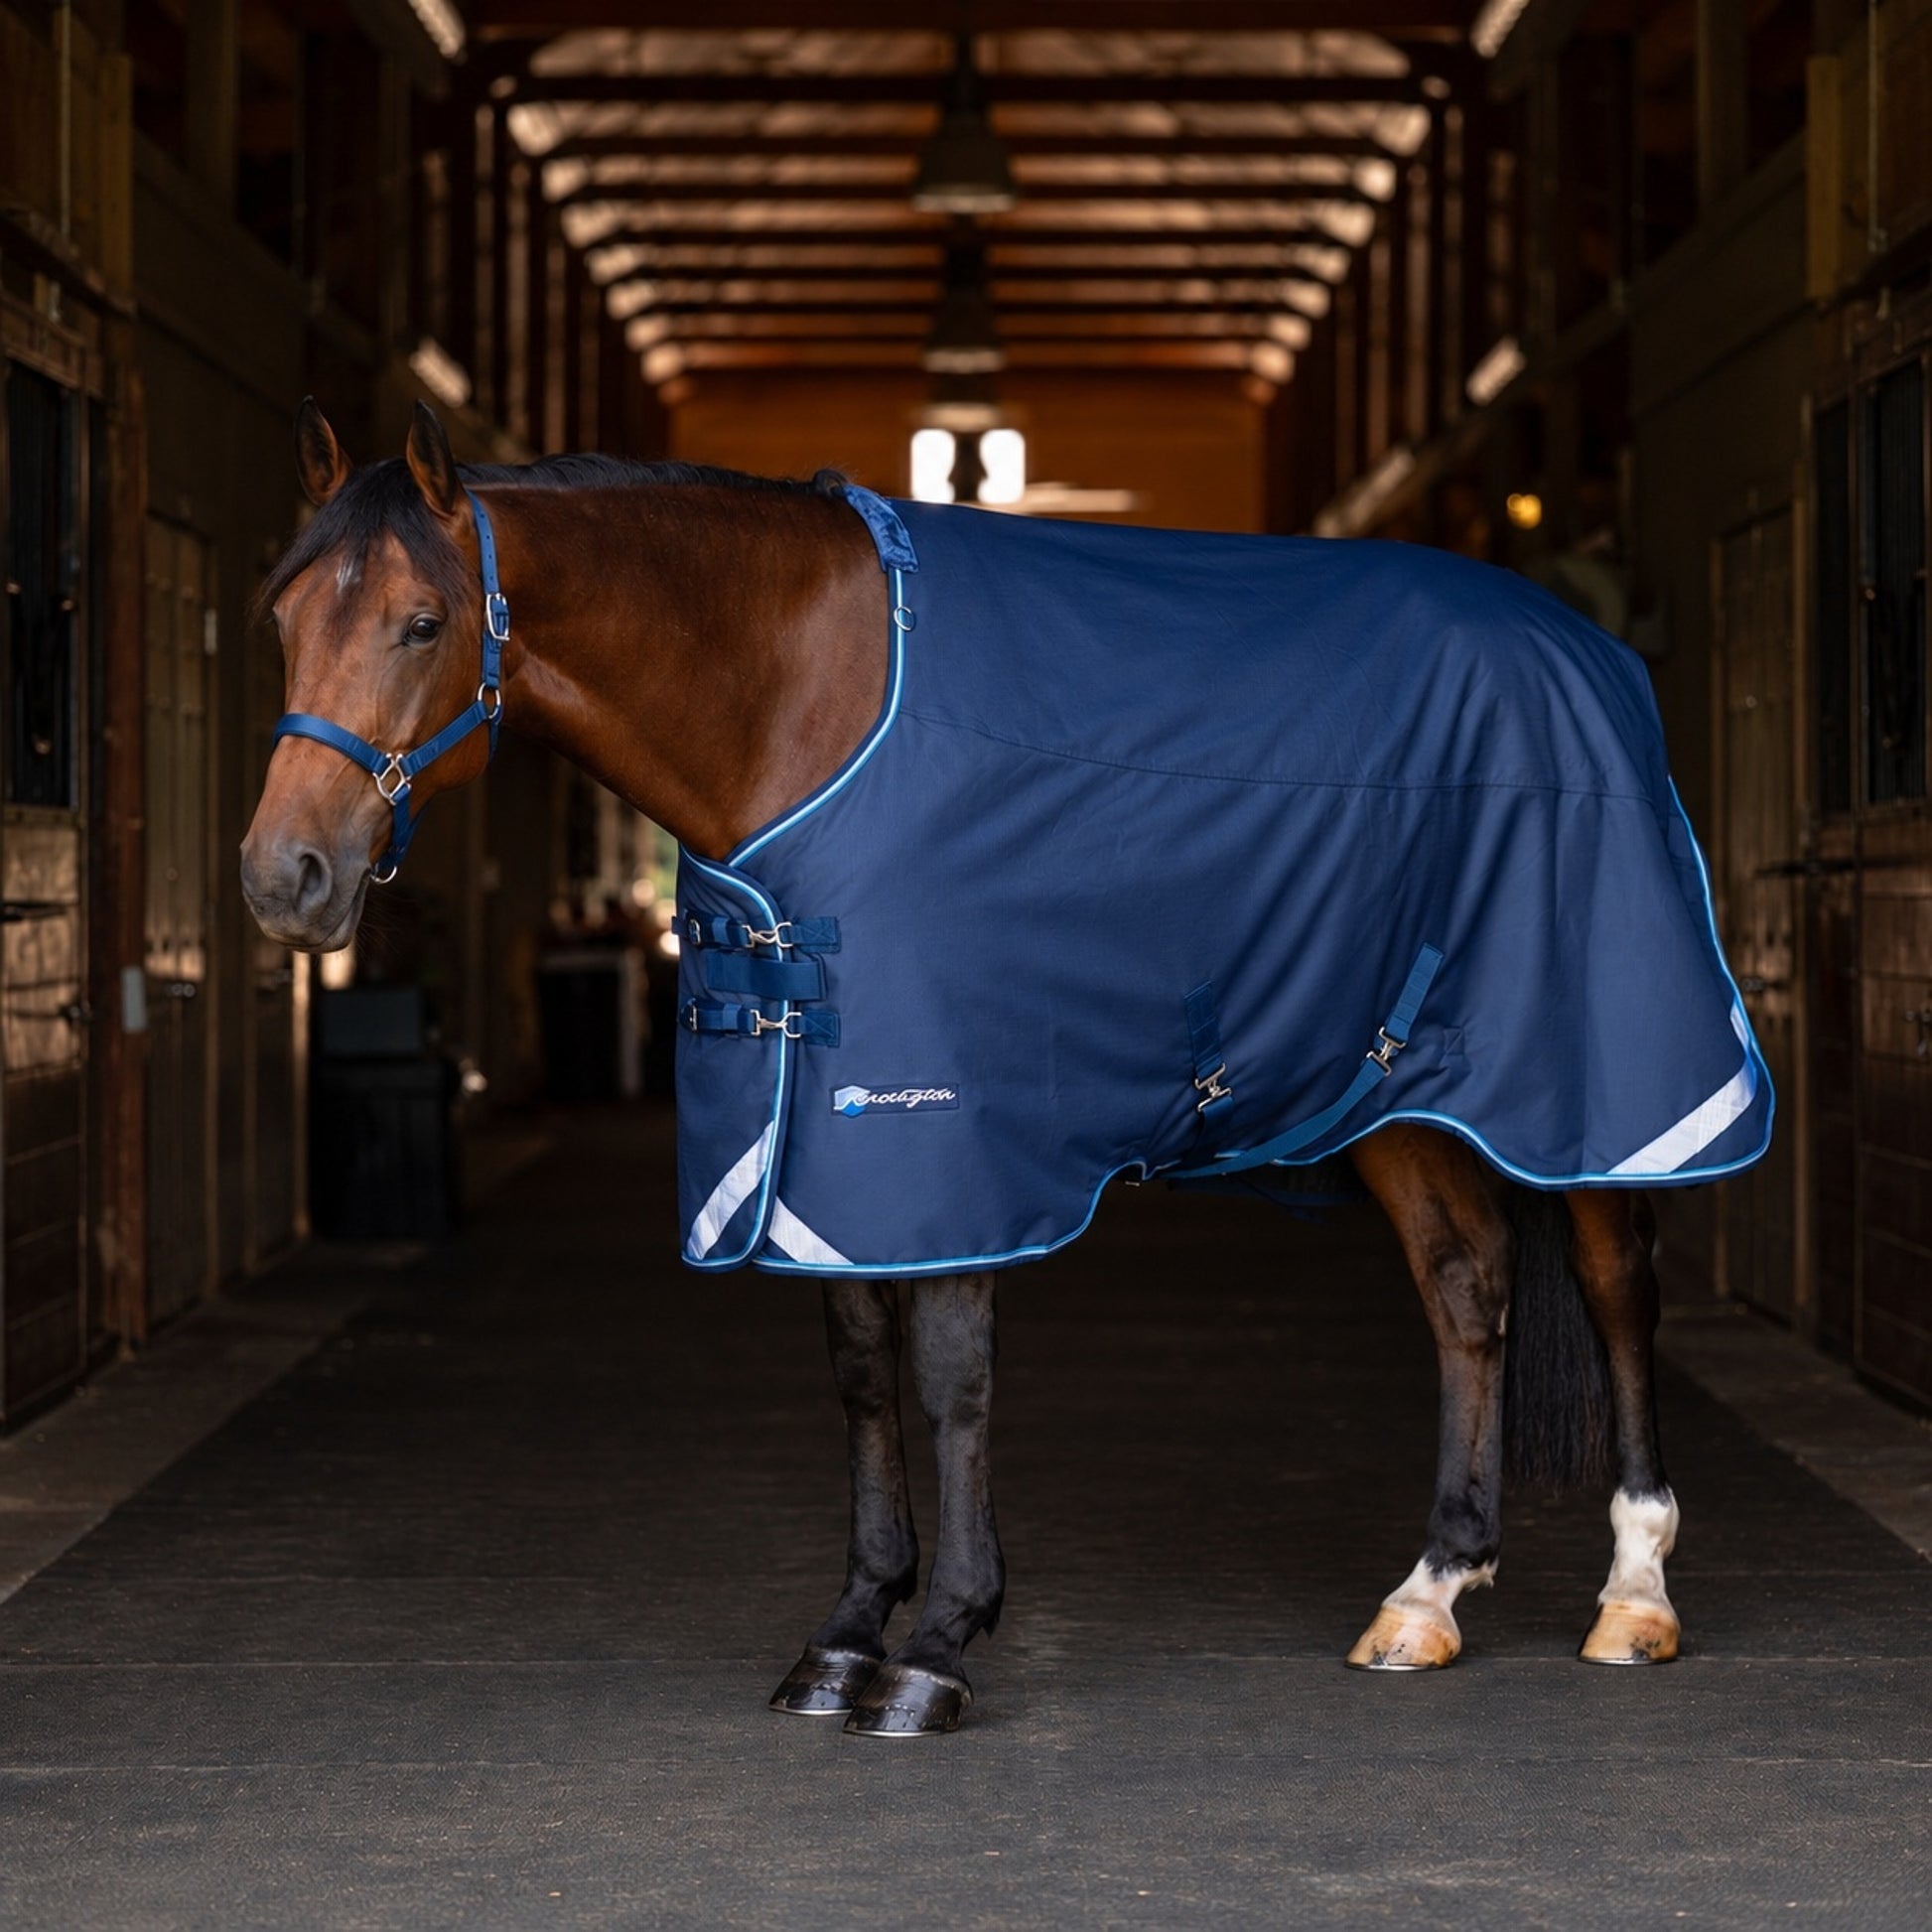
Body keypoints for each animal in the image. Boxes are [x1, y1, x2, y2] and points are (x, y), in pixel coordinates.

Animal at [241, 399, 1771, 1738]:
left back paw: (1632, 1592)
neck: (801, 696)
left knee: (1614, 1282)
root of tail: (1584, 653)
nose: (283, 876)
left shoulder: (945, 1132)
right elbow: (862, 1374)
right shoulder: (823, 1158)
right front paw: (844, 1636)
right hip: (1401, 1088)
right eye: (281, 618)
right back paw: (1429, 1590)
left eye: (422, 621)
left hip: (1594, 1084)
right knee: (1466, 1286)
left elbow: (950, 1377)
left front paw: (936, 1651)